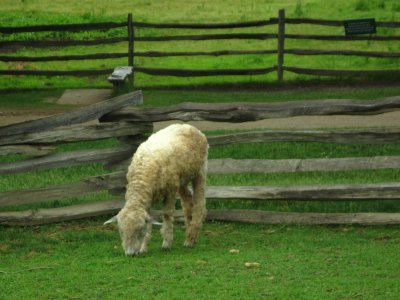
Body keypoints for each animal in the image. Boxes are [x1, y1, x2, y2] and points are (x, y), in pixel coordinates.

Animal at [104, 123, 208, 255]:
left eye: (140, 230)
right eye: (121, 232)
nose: (130, 254)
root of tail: (188, 126)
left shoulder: (171, 190)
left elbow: (167, 215)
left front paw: (167, 243)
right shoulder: (148, 197)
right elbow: (149, 220)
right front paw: (144, 248)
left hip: (200, 170)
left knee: (199, 203)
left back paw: (191, 237)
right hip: (181, 179)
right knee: (187, 200)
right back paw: (190, 235)